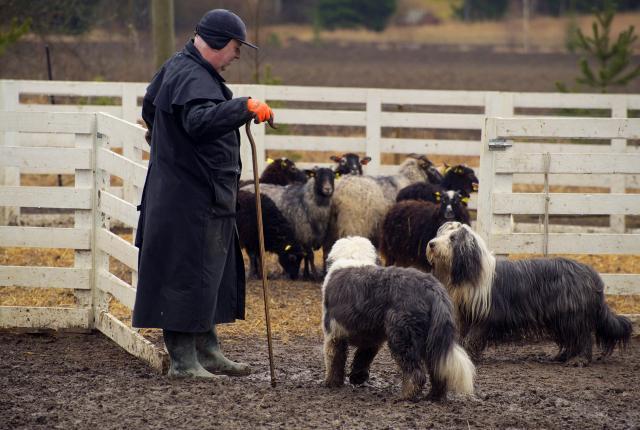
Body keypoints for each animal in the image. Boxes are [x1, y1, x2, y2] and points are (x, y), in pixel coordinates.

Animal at [320, 235, 476, 400]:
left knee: (415, 373)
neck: (353, 258)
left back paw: (407, 394)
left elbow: (334, 359)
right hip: (433, 339)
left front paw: (332, 382)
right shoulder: (371, 337)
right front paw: (357, 377)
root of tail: (433, 288)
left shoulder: (333, 333)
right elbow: (363, 357)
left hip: (402, 336)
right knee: (439, 370)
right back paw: (434, 396)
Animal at [428, 222, 632, 366]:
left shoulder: (485, 316)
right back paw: (562, 356)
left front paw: (468, 354)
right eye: (440, 234)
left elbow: (473, 337)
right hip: (560, 318)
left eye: (452, 237)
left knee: (582, 337)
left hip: (572, 316)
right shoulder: (465, 315)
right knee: (571, 338)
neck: (470, 272)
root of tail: (590, 273)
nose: (431, 244)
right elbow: (464, 335)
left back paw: (578, 360)